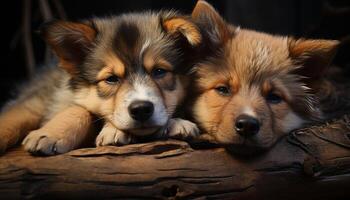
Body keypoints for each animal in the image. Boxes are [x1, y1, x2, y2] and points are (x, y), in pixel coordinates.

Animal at [0, 10, 201, 155]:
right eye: (111, 79)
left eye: (159, 71)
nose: (141, 109)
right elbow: (80, 110)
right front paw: (50, 134)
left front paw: (176, 123)